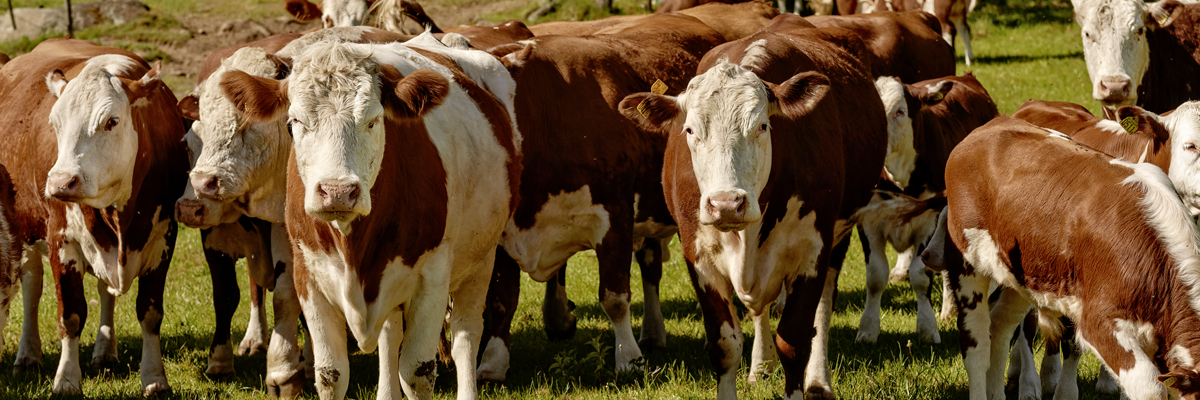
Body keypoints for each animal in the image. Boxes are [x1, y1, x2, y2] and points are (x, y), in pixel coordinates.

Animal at [0, 38, 188, 396]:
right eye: (55, 123)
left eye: (111, 121)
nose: (61, 182)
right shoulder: (61, 240)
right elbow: (71, 315)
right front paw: (66, 380)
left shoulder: (164, 238)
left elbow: (150, 312)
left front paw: (155, 378)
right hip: (25, 232)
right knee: (32, 286)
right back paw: (28, 354)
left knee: (105, 291)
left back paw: (105, 352)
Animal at [218, 32, 519, 400]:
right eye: (294, 123)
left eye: (374, 120)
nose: (337, 191)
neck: (352, 244)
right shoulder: (309, 278)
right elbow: (331, 374)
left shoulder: (432, 278)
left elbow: (417, 371)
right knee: (390, 337)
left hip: (481, 260)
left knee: (466, 336)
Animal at [475, 14, 724, 381]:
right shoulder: (503, 233)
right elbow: (501, 299)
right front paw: (493, 363)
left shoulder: (615, 215)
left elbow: (615, 297)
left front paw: (628, 359)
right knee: (650, 267)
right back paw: (653, 332)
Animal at [619, 22, 887, 399]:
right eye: (690, 130)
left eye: (762, 126)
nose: (726, 204)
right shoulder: (699, 259)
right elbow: (725, 345)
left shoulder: (812, 251)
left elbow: (796, 341)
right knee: (759, 310)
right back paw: (761, 366)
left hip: (838, 236)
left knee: (823, 309)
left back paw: (818, 381)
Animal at [935, 115, 1200, 400]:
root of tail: (992, 124)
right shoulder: (1099, 323)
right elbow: (1150, 387)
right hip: (966, 264)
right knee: (976, 346)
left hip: (1022, 275)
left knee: (1000, 326)